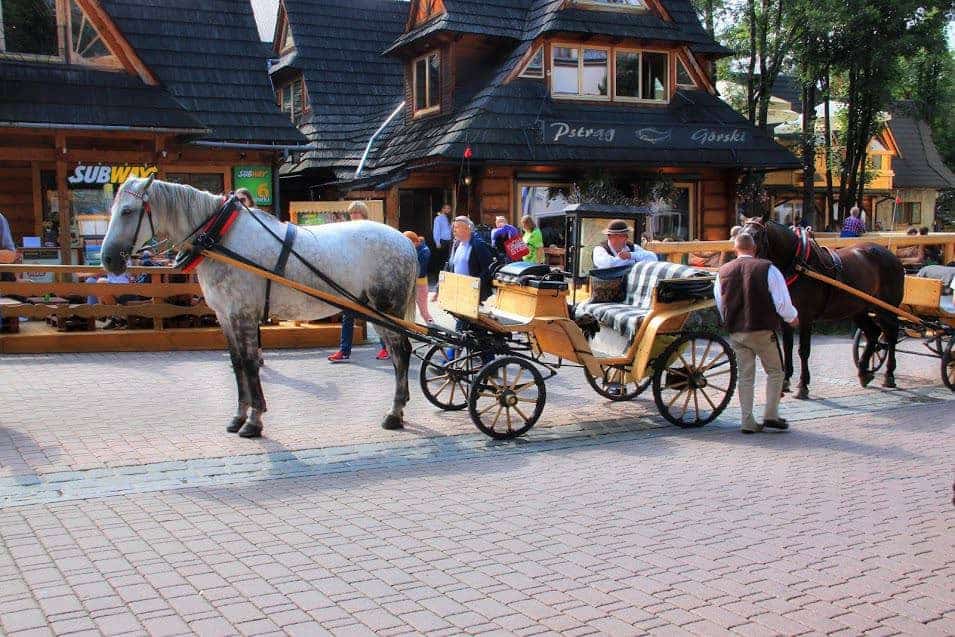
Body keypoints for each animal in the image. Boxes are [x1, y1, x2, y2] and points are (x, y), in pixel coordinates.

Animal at [744, 216, 908, 400]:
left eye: (756, 235)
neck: (797, 263)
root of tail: (892, 256)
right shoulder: (785, 317)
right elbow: (787, 347)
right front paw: (785, 382)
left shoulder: (806, 317)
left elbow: (803, 350)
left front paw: (803, 385)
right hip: (859, 309)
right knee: (873, 333)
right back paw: (864, 372)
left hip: (886, 308)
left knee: (891, 334)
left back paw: (889, 375)